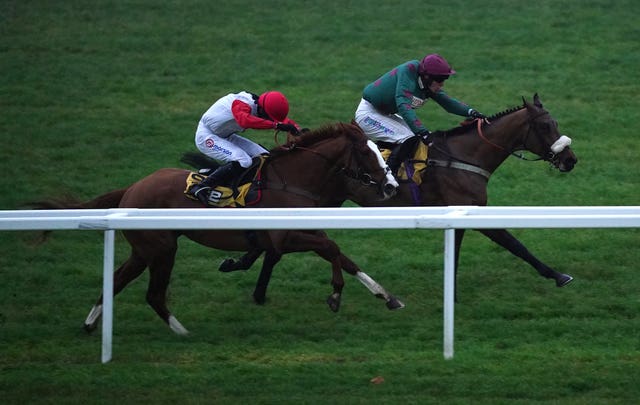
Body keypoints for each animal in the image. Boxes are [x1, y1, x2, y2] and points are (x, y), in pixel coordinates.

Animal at [32, 124, 400, 334]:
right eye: (367, 154)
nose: (391, 187)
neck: (294, 180)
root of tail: (132, 189)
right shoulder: (284, 236)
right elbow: (332, 248)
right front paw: (336, 295)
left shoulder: (301, 233)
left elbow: (342, 255)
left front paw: (386, 295)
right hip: (162, 249)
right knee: (153, 293)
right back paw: (182, 332)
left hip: (144, 250)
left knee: (118, 279)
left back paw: (90, 323)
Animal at [226, 94, 580, 300]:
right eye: (546, 126)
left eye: (555, 122)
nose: (570, 160)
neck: (464, 156)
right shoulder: (473, 210)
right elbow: (516, 244)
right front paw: (558, 275)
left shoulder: (461, 213)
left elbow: (461, 250)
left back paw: (241, 264)